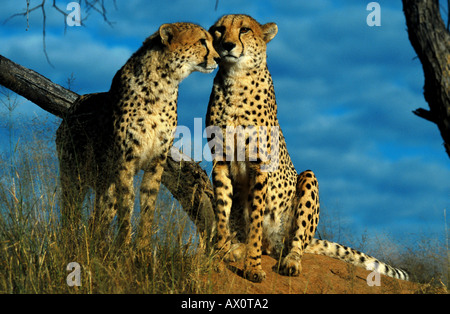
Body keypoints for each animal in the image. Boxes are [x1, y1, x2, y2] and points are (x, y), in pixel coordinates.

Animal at [57, 22, 219, 249]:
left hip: (103, 181)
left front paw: (142, 247)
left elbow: (148, 204)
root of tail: (72, 106)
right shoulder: (125, 160)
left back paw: (99, 245)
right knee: (70, 211)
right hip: (74, 174)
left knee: (100, 216)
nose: (218, 59)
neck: (164, 85)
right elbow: (127, 203)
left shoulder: (156, 161)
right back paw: (69, 243)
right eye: (202, 41)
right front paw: (125, 246)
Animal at [206, 14, 410, 282]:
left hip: (307, 183)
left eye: (245, 30)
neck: (235, 80)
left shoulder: (260, 165)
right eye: (219, 30)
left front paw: (253, 267)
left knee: (295, 242)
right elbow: (222, 211)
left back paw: (290, 261)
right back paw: (236, 248)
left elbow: (257, 219)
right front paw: (220, 252)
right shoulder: (219, 161)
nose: (228, 45)